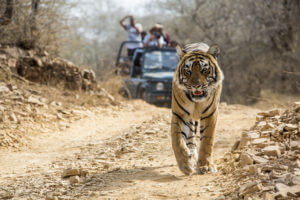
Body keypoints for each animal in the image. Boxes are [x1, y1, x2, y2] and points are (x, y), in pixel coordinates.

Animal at [171, 42, 223, 175]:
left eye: (204, 70)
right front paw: (185, 164)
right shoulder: (180, 114)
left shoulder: (211, 114)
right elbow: (177, 140)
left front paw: (206, 166)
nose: (196, 85)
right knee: (190, 138)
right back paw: (192, 156)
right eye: (187, 72)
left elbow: (206, 142)